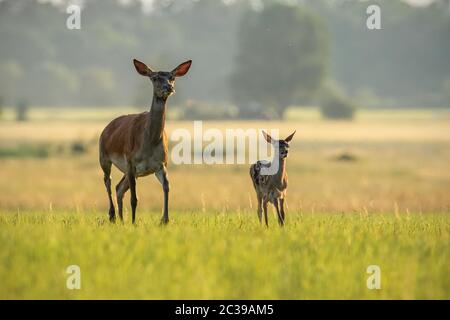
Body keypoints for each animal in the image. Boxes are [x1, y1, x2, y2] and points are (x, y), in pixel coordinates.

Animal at [98, 59, 192, 225]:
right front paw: (134, 223)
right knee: (108, 181)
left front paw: (165, 220)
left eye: (172, 77)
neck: (149, 143)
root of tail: (106, 128)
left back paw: (121, 220)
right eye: (155, 78)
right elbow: (134, 198)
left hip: (129, 171)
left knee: (119, 187)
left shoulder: (161, 164)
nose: (169, 87)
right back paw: (113, 215)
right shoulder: (130, 161)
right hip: (104, 157)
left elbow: (167, 187)